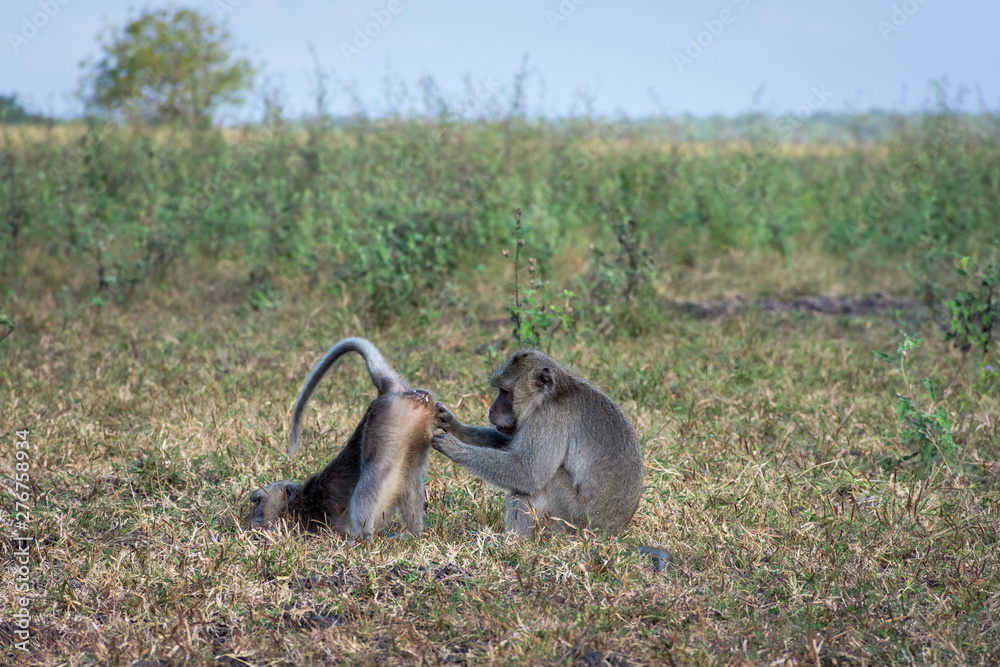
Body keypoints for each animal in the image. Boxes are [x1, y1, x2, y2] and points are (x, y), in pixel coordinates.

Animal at [244, 338, 435, 539]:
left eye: (257, 502)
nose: (246, 520)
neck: (295, 504)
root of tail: (390, 392)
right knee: (410, 473)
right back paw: (414, 534)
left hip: (386, 420)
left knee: (375, 469)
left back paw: (363, 538)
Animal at [431, 348, 645, 540]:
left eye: (505, 392)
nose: (491, 410)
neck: (552, 395)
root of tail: (609, 534)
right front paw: (453, 425)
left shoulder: (548, 419)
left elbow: (530, 474)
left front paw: (456, 449)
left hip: (572, 521)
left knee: (539, 483)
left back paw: (512, 541)